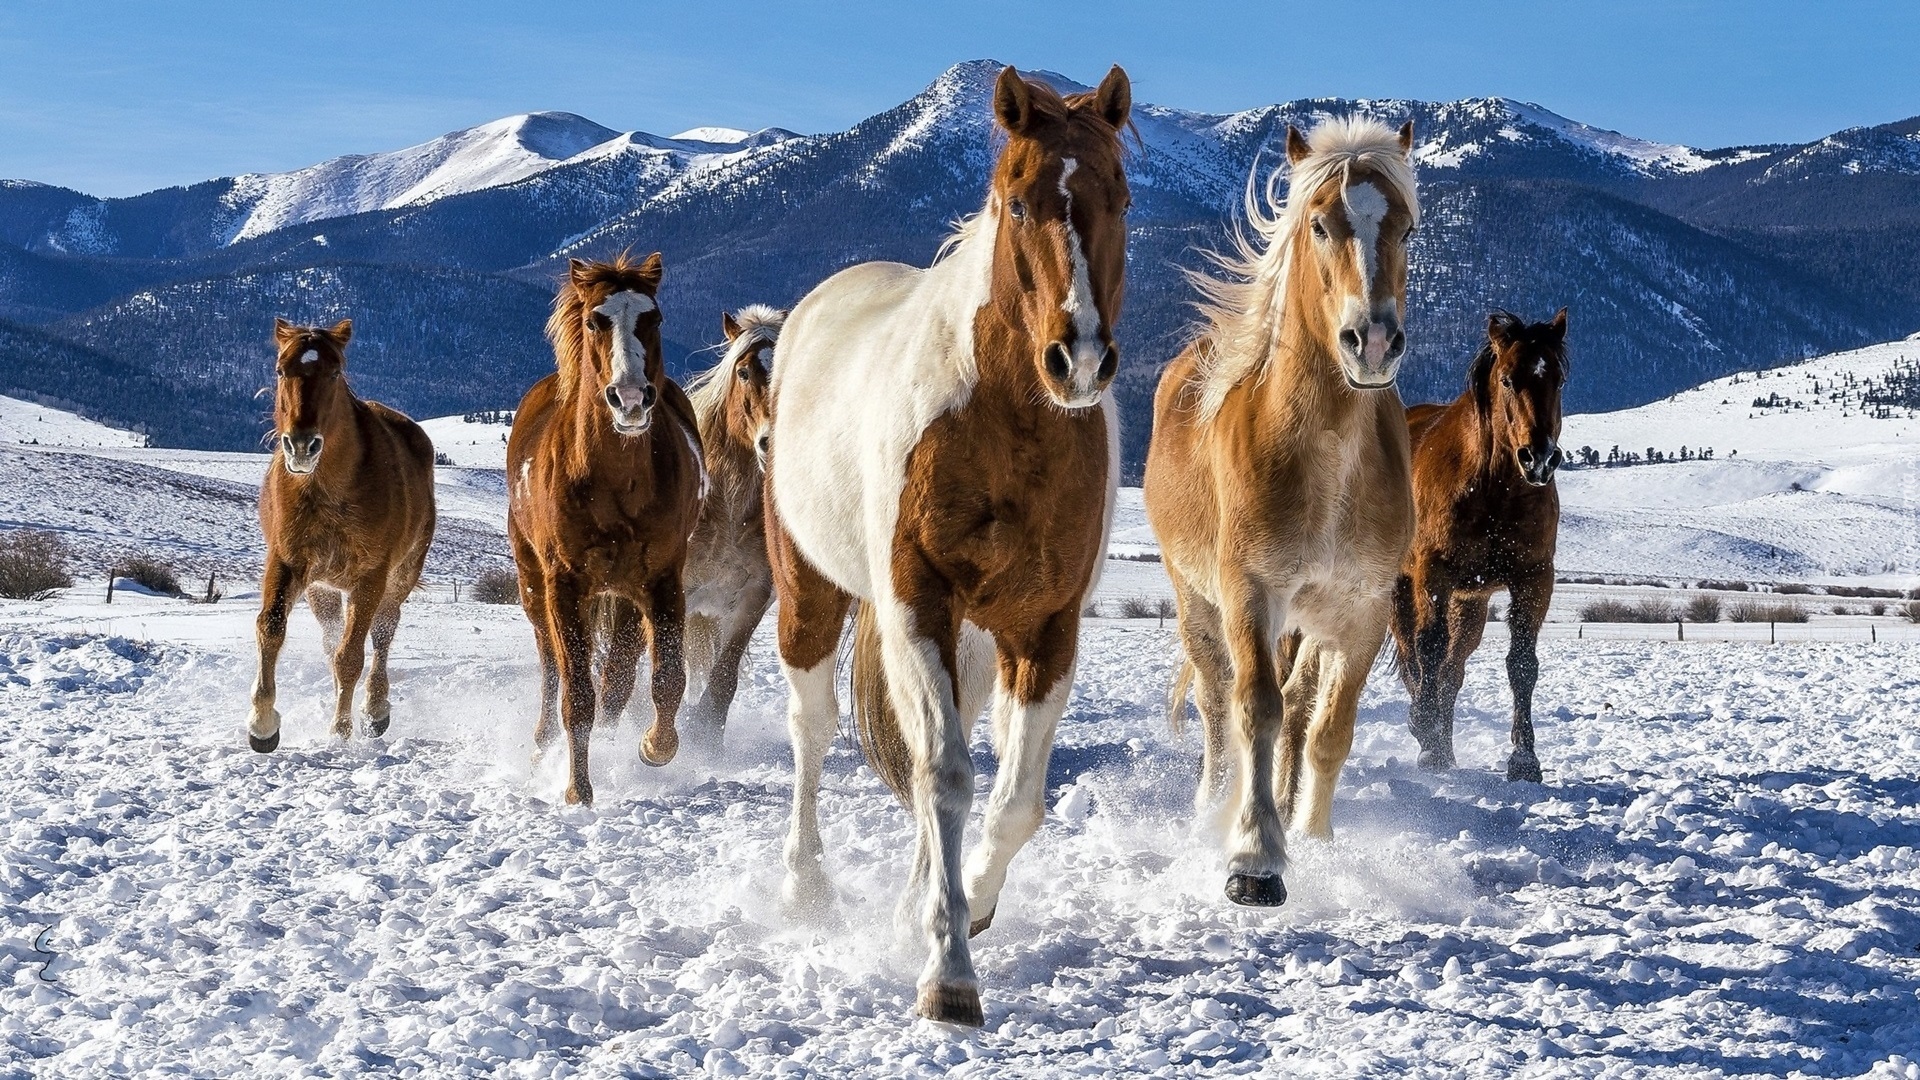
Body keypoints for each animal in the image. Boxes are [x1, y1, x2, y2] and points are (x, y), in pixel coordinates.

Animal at [247, 311, 435, 749]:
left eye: (334, 372)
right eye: (281, 370)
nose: (301, 446)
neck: (326, 488)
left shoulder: (371, 576)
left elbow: (351, 656)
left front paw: (341, 730)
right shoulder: (287, 562)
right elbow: (271, 627)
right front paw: (262, 724)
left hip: (398, 578)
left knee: (382, 635)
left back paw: (375, 710)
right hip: (323, 590)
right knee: (331, 640)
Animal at [503, 251, 706, 803]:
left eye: (654, 318)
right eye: (597, 320)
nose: (631, 398)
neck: (615, 483)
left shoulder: (663, 581)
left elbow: (666, 678)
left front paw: (655, 747)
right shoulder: (564, 586)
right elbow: (576, 691)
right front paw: (578, 790)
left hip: (625, 595)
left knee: (618, 675)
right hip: (534, 586)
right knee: (551, 666)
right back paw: (540, 745)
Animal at [764, 67, 1128, 1022]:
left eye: (1120, 195)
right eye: (1016, 199)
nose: (1077, 359)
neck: (1004, 422)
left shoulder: (1045, 628)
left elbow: (1015, 800)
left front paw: (968, 907)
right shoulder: (916, 604)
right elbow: (944, 775)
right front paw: (948, 973)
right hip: (811, 595)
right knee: (811, 730)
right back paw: (803, 890)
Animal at [1144, 117, 1420, 903]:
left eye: (1407, 228)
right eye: (1321, 224)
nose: (1373, 341)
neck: (1325, 465)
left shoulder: (1362, 611)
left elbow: (1328, 728)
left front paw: (1313, 839)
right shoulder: (1250, 594)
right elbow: (1255, 711)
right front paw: (1253, 857)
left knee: (1298, 706)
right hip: (1196, 600)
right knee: (1216, 707)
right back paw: (1211, 811)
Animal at [1390, 307, 1566, 776]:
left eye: (1558, 379)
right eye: (1506, 379)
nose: (1539, 458)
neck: (1493, 489)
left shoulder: (1533, 579)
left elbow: (1521, 664)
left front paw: (1524, 759)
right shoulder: (1433, 575)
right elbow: (1428, 649)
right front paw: (1426, 734)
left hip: (1470, 603)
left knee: (1453, 669)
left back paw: (1445, 746)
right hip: (1400, 589)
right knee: (1414, 657)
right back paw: (1426, 732)